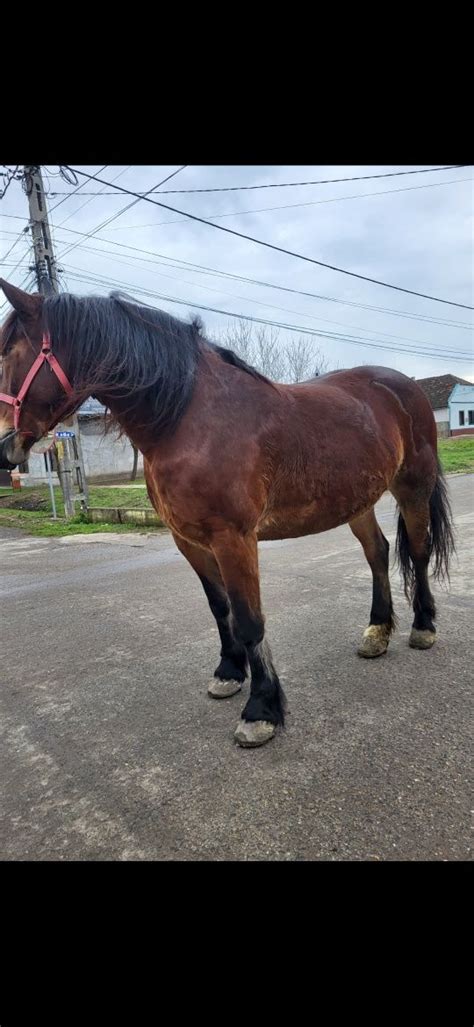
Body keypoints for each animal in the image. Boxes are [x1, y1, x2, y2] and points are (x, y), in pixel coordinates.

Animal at [0, 281, 453, 747]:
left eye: (9, 353)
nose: (4, 447)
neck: (188, 420)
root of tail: (403, 386)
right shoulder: (189, 540)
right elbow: (222, 610)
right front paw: (229, 673)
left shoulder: (234, 538)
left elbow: (250, 619)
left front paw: (262, 709)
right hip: (356, 500)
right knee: (378, 552)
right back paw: (377, 632)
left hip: (412, 488)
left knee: (418, 552)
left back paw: (423, 627)